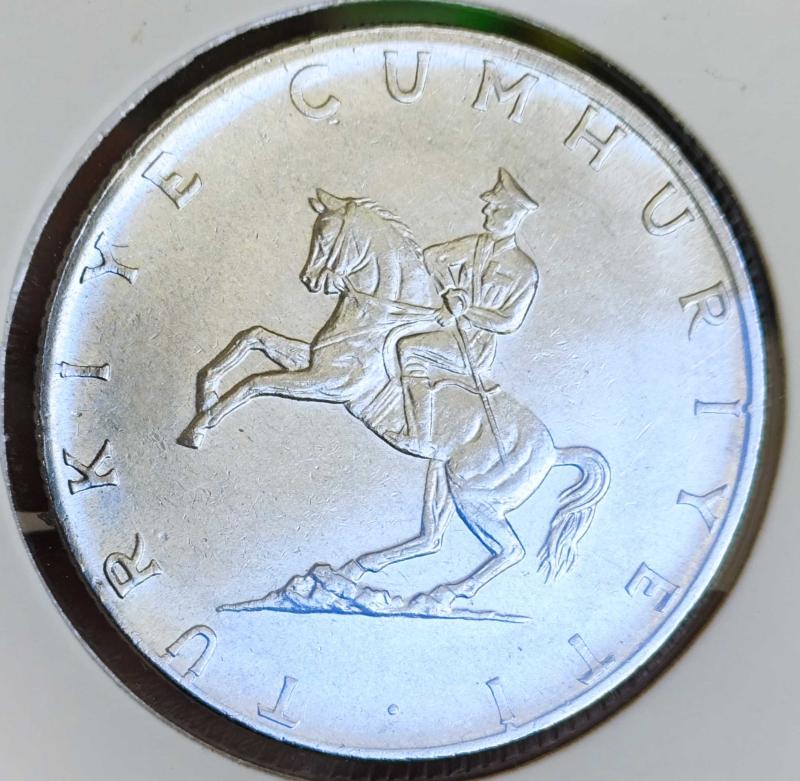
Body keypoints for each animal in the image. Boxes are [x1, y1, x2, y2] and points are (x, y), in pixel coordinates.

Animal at [178, 189, 610, 606]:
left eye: (326, 234)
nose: (310, 279)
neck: (380, 317)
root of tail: (553, 452)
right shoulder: (313, 363)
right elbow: (252, 336)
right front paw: (205, 393)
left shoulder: (328, 383)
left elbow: (253, 384)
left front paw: (199, 428)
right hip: (443, 480)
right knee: (432, 537)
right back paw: (358, 571)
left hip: (476, 498)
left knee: (509, 550)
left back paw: (443, 595)